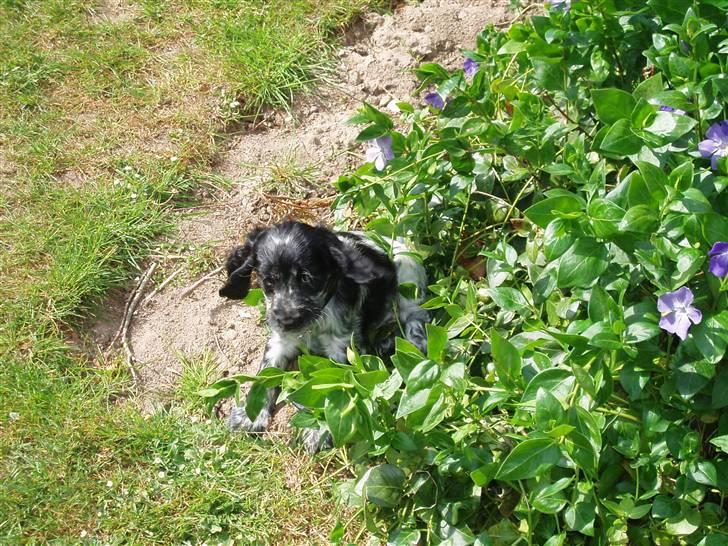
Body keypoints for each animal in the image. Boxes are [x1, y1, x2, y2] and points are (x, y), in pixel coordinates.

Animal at [219, 219, 430, 448]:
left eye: (307, 279)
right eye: (268, 282)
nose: (287, 320)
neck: (314, 324)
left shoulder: (343, 348)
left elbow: (334, 387)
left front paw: (319, 430)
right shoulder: (280, 342)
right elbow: (265, 375)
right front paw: (250, 415)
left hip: (408, 276)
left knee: (416, 318)